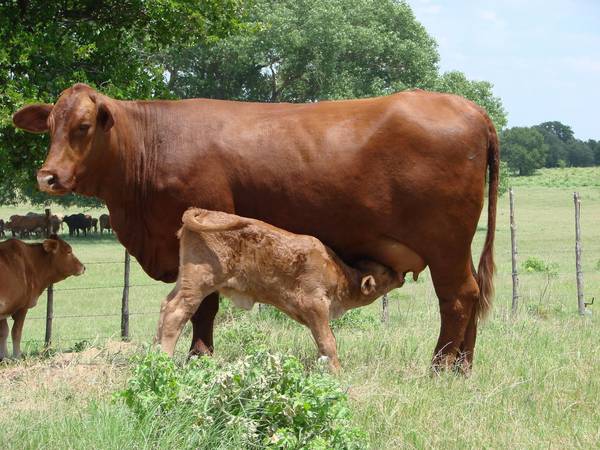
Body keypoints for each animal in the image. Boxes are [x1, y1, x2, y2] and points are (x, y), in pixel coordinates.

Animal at [155, 207, 400, 370]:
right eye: (386, 273)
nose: (399, 273)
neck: (342, 275)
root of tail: (202, 211)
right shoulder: (314, 304)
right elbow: (328, 342)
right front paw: (337, 373)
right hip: (199, 282)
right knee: (176, 313)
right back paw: (163, 360)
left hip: (186, 281)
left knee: (166, 306)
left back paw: (153, 353)